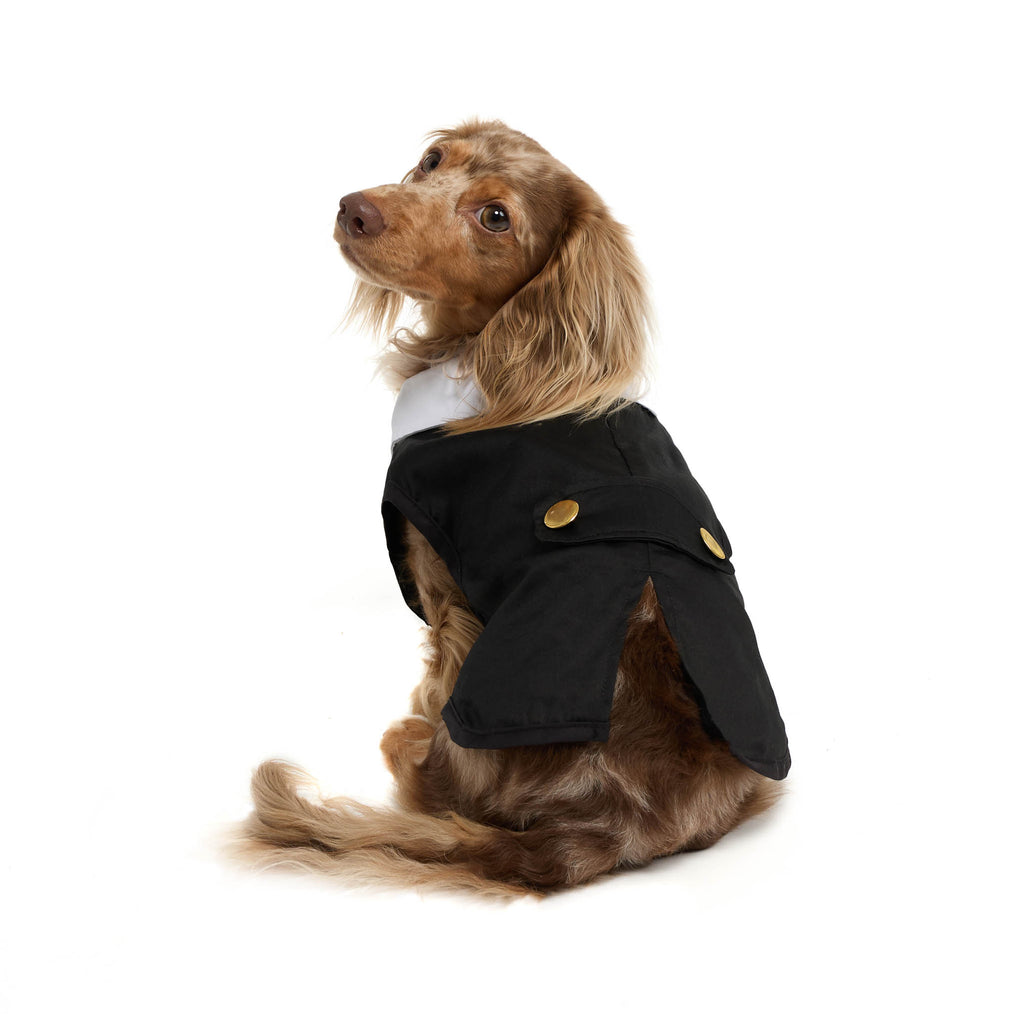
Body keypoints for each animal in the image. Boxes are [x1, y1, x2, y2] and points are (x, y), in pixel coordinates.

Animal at [236, 120, 789, 896]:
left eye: (495, 217)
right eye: (432, 160)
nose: (356, 209)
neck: (493, 362)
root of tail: (610, 830)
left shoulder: (444, 592)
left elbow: (434, 674)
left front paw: (416, 724)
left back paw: (409, 745)